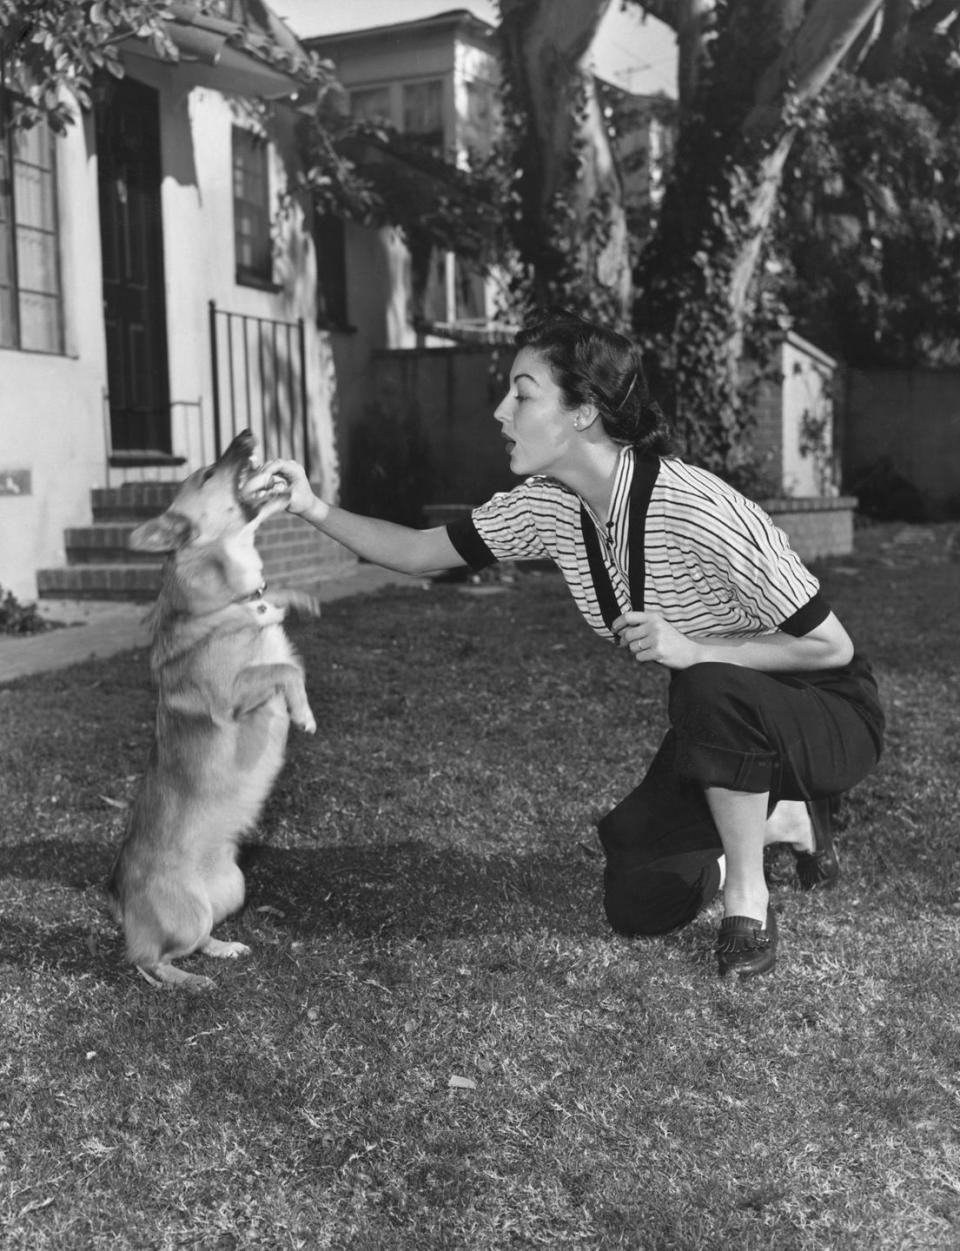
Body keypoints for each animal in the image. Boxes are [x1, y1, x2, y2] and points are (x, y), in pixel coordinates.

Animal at [107, 430, 319, 985]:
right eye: (206, 474)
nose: (244, 435)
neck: (233, 598)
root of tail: (122, 906)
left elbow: (286, 644)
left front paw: (299, 598)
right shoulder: (235, 696)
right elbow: (285, 671)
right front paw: (304, 714)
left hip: (234, 888)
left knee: (196, 941)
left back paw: (223, 949)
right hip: (183, 915)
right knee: (150, 962)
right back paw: (188, 982)